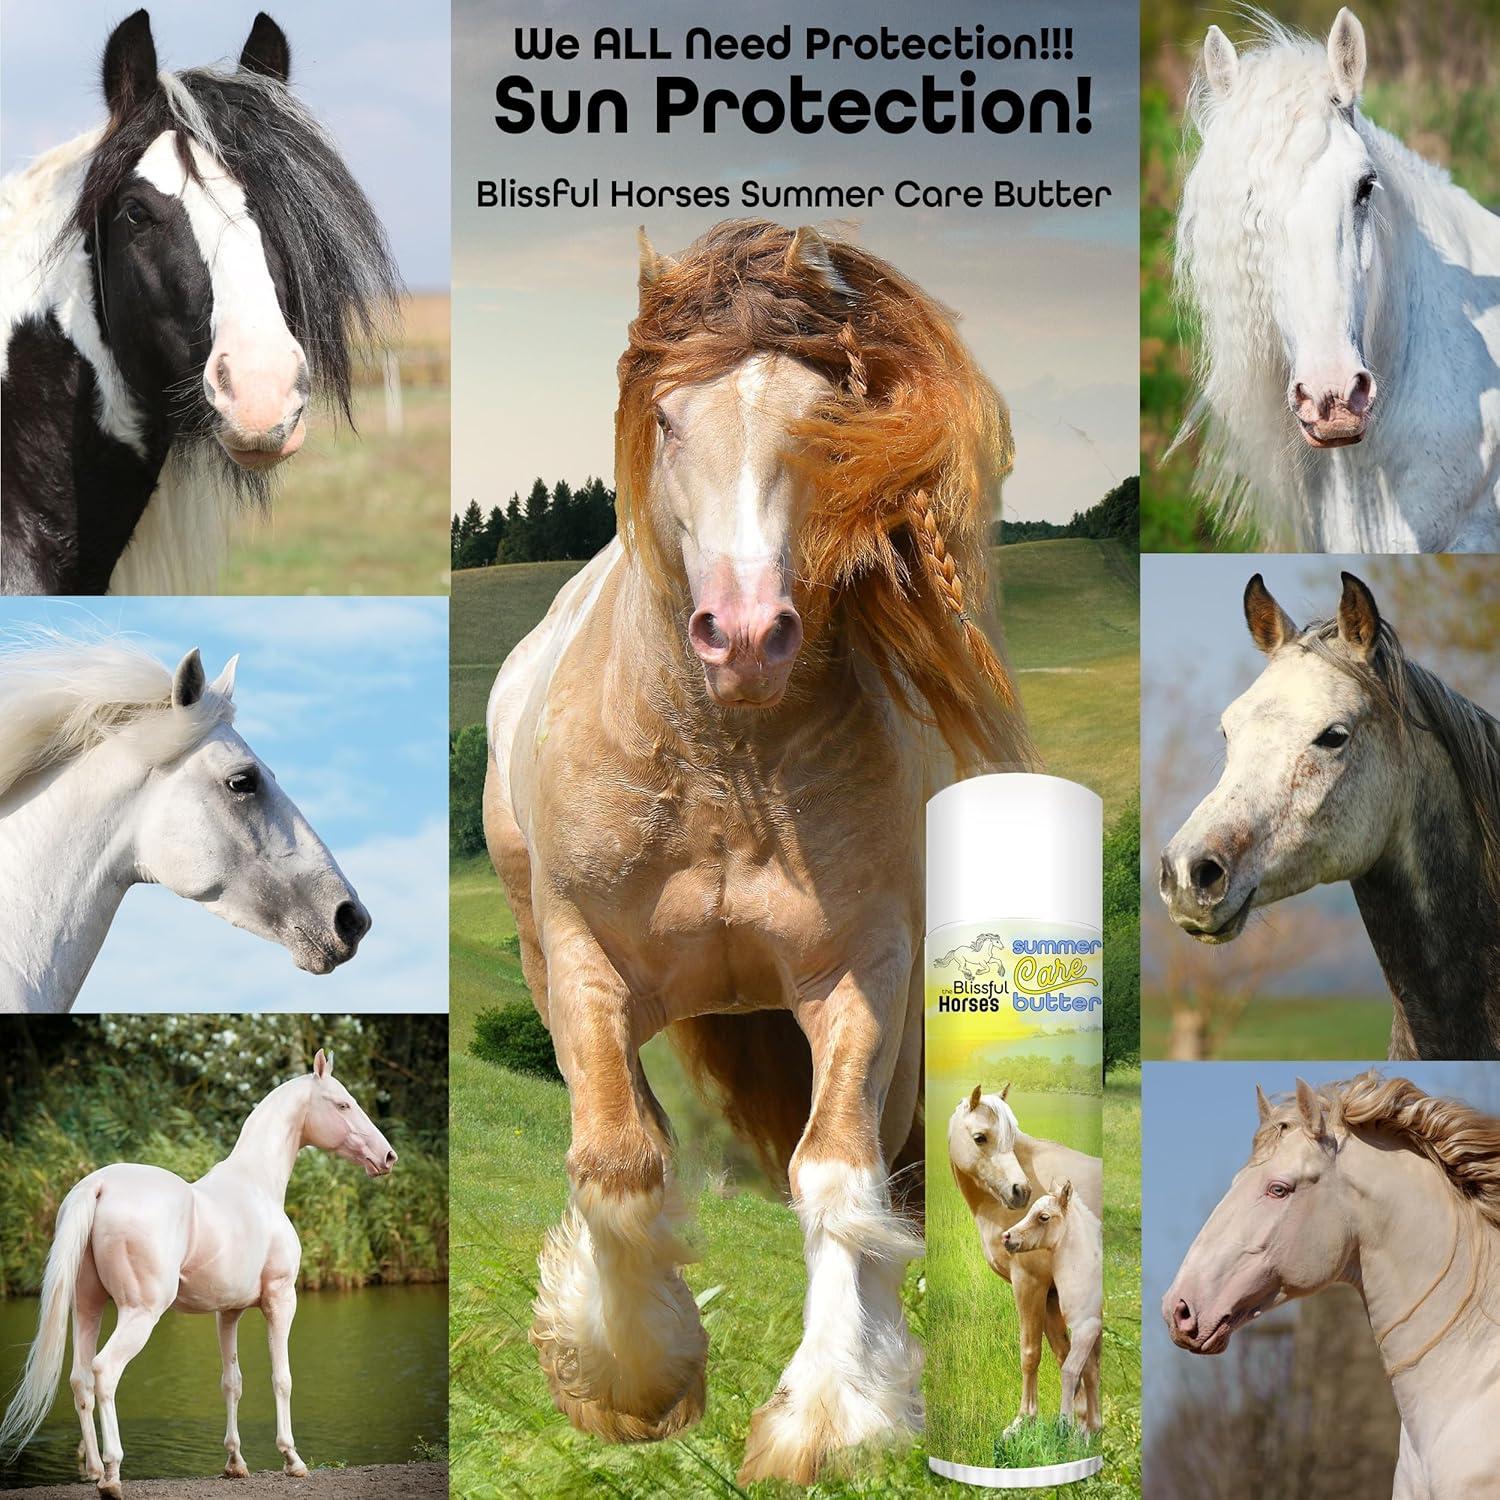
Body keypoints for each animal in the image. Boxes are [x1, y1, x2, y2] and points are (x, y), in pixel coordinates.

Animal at [0, 1050, 396, 1497]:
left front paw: (235, 1464)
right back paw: (112, 1474)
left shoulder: (229, 1312)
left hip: (88, 1307)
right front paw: (293, 1459)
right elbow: (282, 1378)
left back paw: (95, 1470)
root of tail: (99, 1186)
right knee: (104, 1372)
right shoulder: (281, 1299)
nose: (387, 1157)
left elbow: (232, 1381)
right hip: (139, 1313)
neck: (257, 1184)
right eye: (343, 1104)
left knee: (81, 1379)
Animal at [483, 218, 1036, 1483]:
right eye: (669, 420)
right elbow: (621, 1165)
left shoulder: (860, 974)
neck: (728, 764)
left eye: (831, 431)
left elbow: (836, 1174)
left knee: (884, 1176)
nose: (744, 636)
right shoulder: (583, 968)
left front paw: (828, 1417)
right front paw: (633, 1381)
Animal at [1001, 1179, 1103, 1434]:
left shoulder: (1088, 1326)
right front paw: (1089, 1430)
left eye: (1044, 1217)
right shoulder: (1082, 1329)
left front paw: (1066, 1425)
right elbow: (1090, 1371)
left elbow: (1071, 1370)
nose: (1006, 1237)